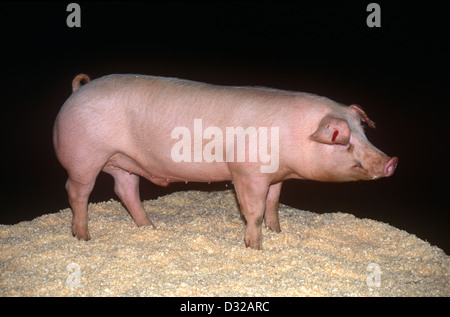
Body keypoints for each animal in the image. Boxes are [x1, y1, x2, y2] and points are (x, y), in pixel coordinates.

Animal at [53, 73, 398, 248]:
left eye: (363, 132)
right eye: (341, 138)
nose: (391, 161)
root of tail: (77, 91)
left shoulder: (276, 175)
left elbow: (273, 204)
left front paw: (277, 232)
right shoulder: (247, 172)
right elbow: (253, 211)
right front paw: (255, 246)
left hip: (123, 163)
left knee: (125, 190)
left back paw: (150, 228)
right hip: (84, 156)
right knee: (76, 191)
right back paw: (83, 237)